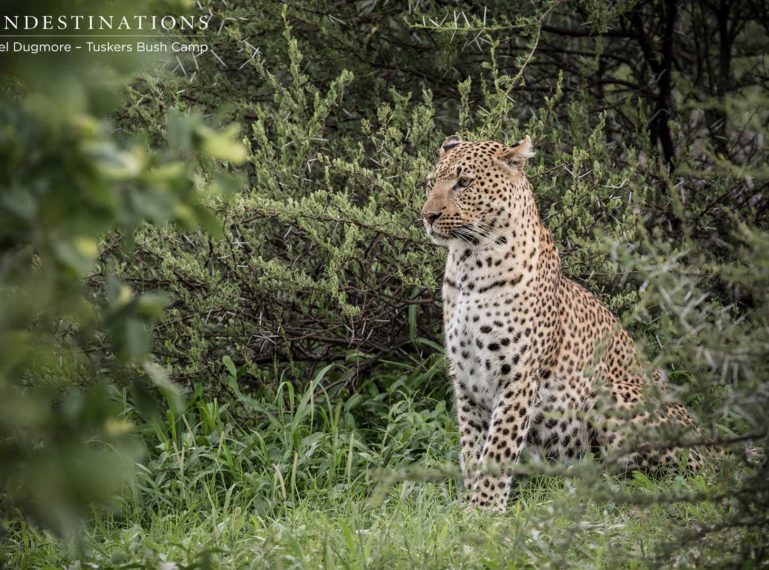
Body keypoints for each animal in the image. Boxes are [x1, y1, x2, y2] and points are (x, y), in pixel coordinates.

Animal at [424, 133, 704, 510]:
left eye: (464, 183)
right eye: (431, 183)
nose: (428, 215)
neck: (468, 264)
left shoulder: (517, 376)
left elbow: (498, 446)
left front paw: (485, 510)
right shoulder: (466, 378)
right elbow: (471, 448)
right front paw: (470, 503)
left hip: (610, 395)